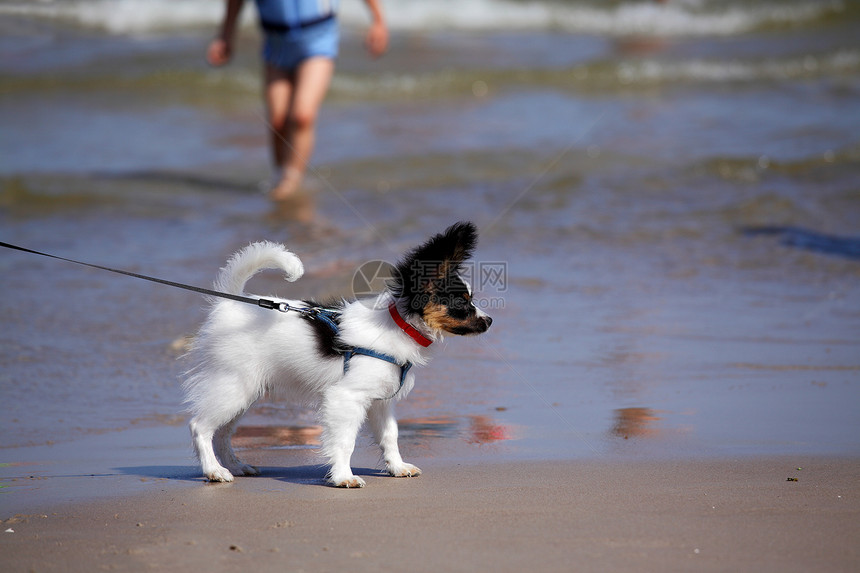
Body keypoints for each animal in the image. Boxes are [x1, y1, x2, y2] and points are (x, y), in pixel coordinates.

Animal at [181, 221, 490, 484]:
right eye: (462, 303)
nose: (489, 321)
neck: (398, 325)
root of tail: (231, 305)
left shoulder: (380, 401)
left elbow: (390, 436)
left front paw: (398, 467)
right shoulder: (346, 397)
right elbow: (344, 440)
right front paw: (343, 477)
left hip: (245, 391)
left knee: (222, 432)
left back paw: (235, 466)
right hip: (234, 386)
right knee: (200, 426)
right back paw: (214, 471)